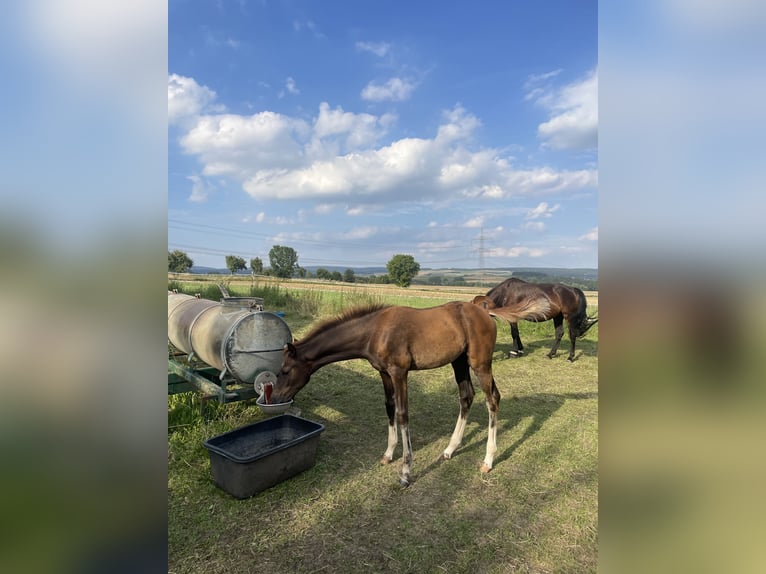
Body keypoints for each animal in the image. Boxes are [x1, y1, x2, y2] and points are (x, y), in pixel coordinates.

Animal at [270, 300, 552, 488]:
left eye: (285, 370)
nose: (276, 398)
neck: (375, 330)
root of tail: (485, 311)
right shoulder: (384, 373)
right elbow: (389, 407)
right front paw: (387, 454)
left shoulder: (399, 372)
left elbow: (403, 414)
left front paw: (406, 472)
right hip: (459, 362)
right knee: (466, 396)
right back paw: (449, 450)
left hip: (480, 363)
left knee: (492, 399)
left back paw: (488, 459)